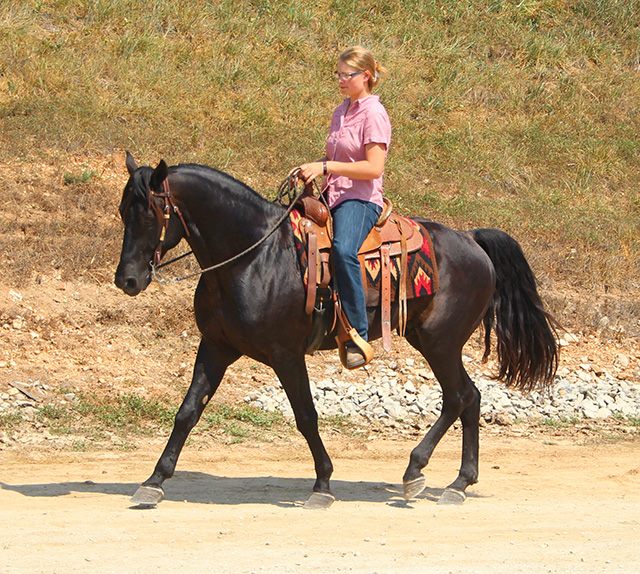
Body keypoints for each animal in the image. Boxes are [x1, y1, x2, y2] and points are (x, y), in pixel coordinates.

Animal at [117, 153, 556, 508]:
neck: (255, 256)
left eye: (151, 214)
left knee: (459, 396)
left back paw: (420, 472)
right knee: (470, 398)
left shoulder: (286, 354)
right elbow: (187, 412)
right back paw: (459, 482)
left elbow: (306, 416)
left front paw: (323, 484)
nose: (127, 280)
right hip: (431, 340)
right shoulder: (216, 346)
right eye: (123, 212)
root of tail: (472, 239)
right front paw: (154, 481)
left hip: (440, 342)